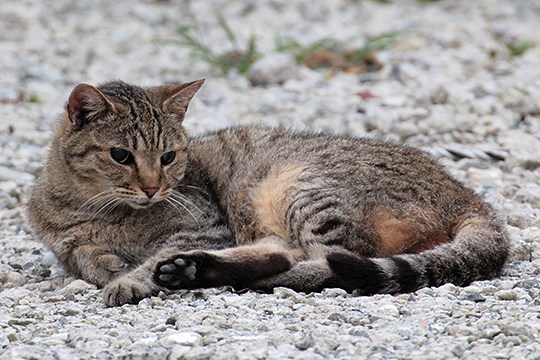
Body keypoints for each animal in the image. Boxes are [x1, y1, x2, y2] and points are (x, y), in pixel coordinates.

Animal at [27, 79, 510, 306]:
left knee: (324, 264)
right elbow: (81, 254)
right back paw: (194, 270)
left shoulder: (204, 226)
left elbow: (144, 261)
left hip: (297, 188)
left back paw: (220, 276)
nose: (153, 187)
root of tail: (465, 192)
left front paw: (127, 279)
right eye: (121, 155)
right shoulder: (63, 242)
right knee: (285, 253)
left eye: (168, 157)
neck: (95, 207)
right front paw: (108, 263)